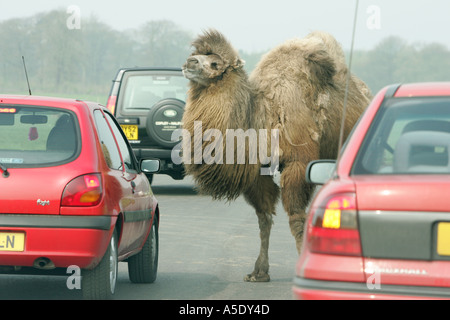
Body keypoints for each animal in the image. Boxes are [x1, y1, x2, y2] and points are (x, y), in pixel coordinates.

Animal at [180, 28, 372, 282]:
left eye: (214, 63)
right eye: (197, 55)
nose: (189, 62)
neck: (263, 118)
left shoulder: (299, 163)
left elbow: (296, 218)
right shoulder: (258, 171)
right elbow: (264, 218)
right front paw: (259, 272)